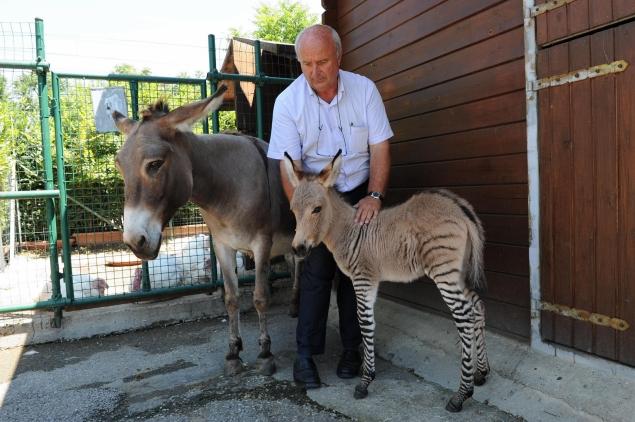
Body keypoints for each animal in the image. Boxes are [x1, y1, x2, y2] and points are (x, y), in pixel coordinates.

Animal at [284, 152, 492, 412]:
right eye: (293, 210)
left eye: (317, 209)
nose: (298, 249)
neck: (350, 231)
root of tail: (459, 208)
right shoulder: (365, 280)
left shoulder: (364, 278)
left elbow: (365, 323)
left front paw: (365, 381)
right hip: (458, 271)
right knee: (477, 305)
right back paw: (481, 372)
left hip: (444, 271)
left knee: (464, 316)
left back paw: (461, 394)